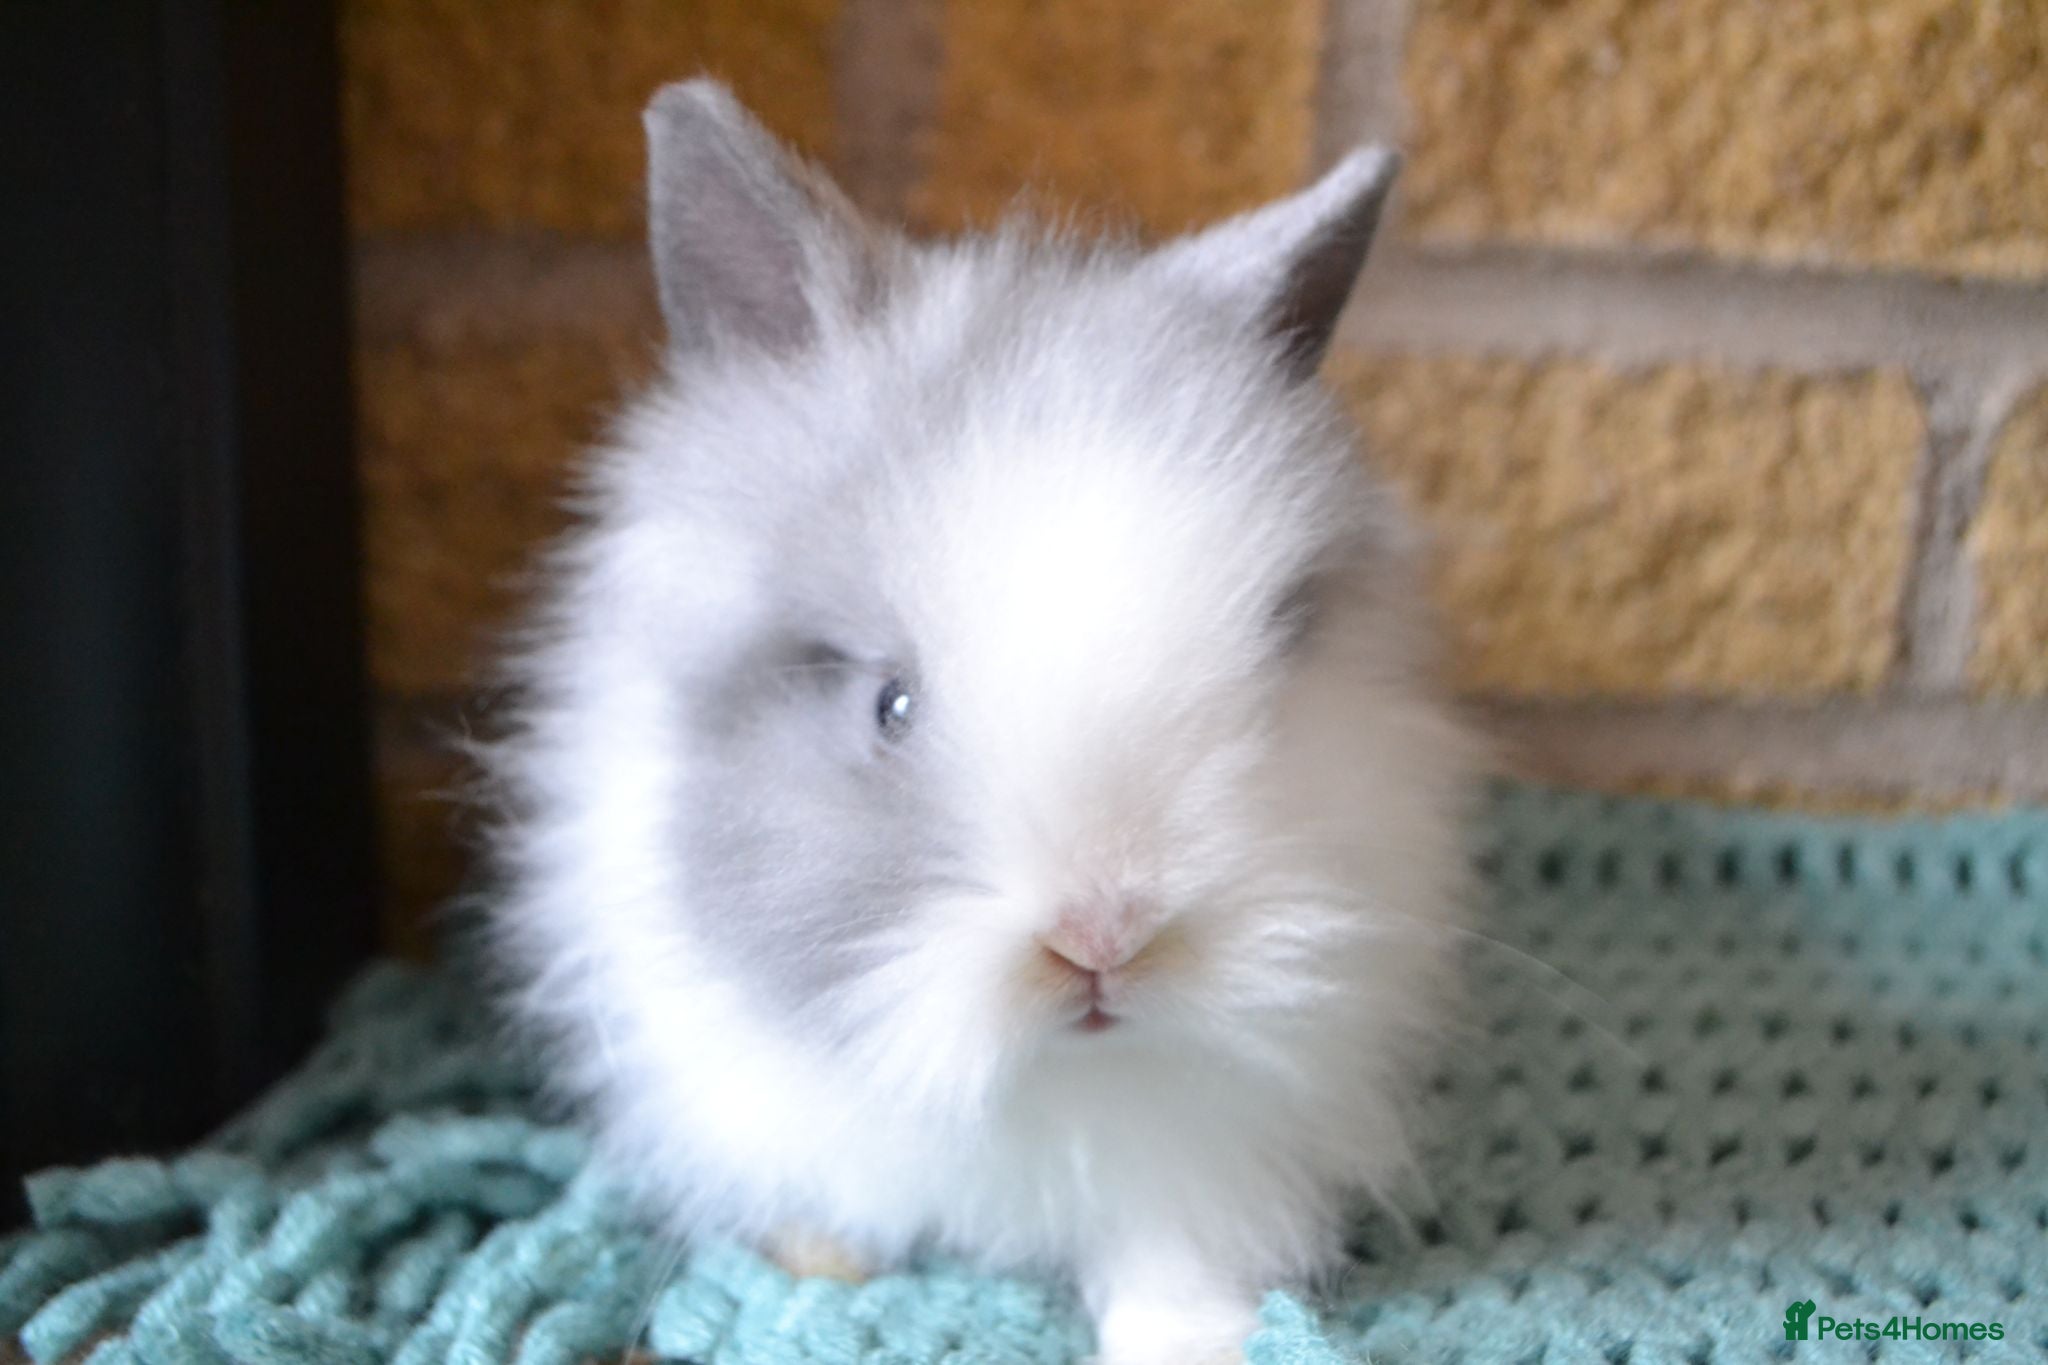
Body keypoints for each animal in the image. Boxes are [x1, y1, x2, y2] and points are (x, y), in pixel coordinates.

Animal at [481, 79, 1478, 1365]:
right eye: (890, 707)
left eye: (1266, 663)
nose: (1103, 937)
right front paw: (819, 1269)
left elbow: (1170, 1249)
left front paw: (1188, 1336)